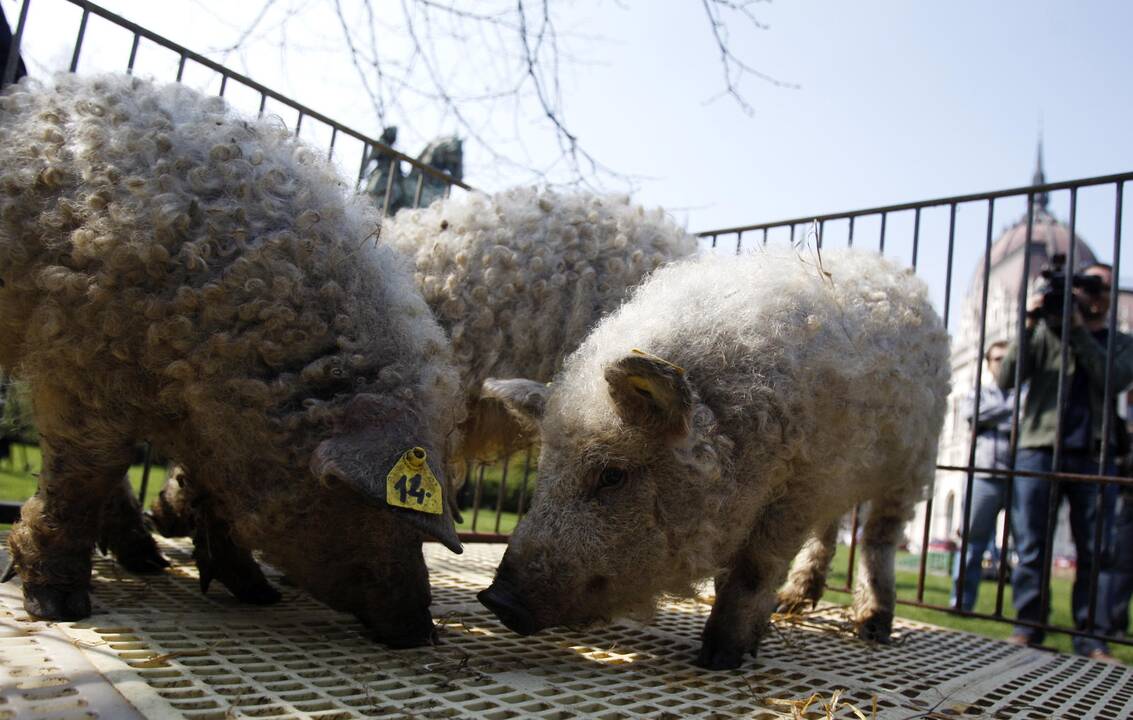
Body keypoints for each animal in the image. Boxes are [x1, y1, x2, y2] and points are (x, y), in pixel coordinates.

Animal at [0, 75, 462, 648]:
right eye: (373, 509)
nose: (423, 629)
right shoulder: (80, 358)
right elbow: (81, 475)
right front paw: (60, 609)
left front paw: (256, 592)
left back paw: (149, 561)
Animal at [475, 249, 947, 671]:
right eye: (544, 472)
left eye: (612, 475)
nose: (496, 600)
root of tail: (893, 270)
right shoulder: (809, 481)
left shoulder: (797, 489)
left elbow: (754, 569)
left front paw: (719, 659)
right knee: (831, 529)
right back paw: (792, 604)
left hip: (913, 463)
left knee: (878, 537)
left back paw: (873, 627)